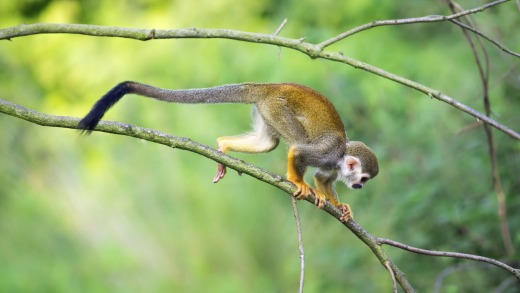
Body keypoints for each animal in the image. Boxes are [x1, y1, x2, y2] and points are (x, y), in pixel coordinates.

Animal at [78, 81, 378, 220]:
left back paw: (223, 145)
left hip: (267, 111)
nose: (361, 187)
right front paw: (300, 183)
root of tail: (270, 86)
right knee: (295, 141)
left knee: (268, 142)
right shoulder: (329, 152)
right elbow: (300, 154)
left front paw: (340, 205)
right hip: (277, 107)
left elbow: (323, 178)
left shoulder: (332, 165)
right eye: (363, 178)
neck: (340, 157)